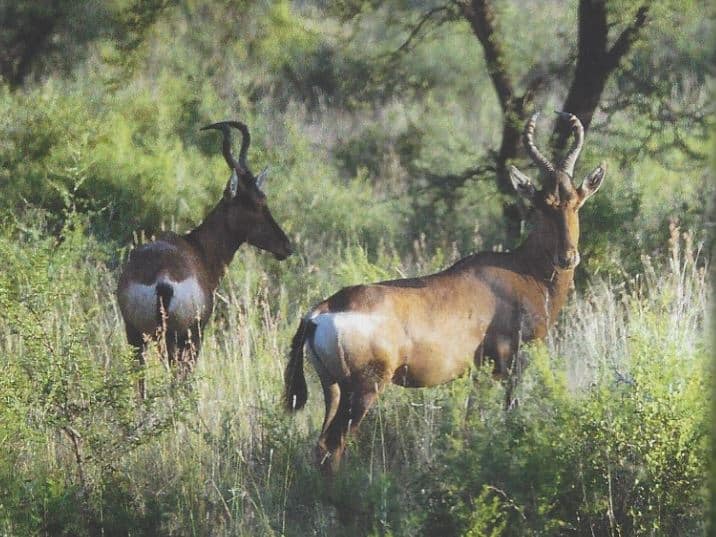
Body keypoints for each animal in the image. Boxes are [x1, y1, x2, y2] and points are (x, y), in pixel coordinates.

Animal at [117, 120, 292, 398]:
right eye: (255, 202)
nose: (286, 247)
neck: (195, 247)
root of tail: (162, 279)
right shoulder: (198, 332)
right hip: (181, 337)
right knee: (177, 380)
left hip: (136, 334)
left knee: (141, 382)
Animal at [283, 112, 605, 473]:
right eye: (544, 205)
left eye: (576, 202)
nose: (567, 258)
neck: (521, 269)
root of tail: (320, 311)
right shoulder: (511, 364)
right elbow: (509, 413)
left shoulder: (480, 371)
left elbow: (470, 421)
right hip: (363, 389)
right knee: (333, 445)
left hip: (333, 388)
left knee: (321, 445)